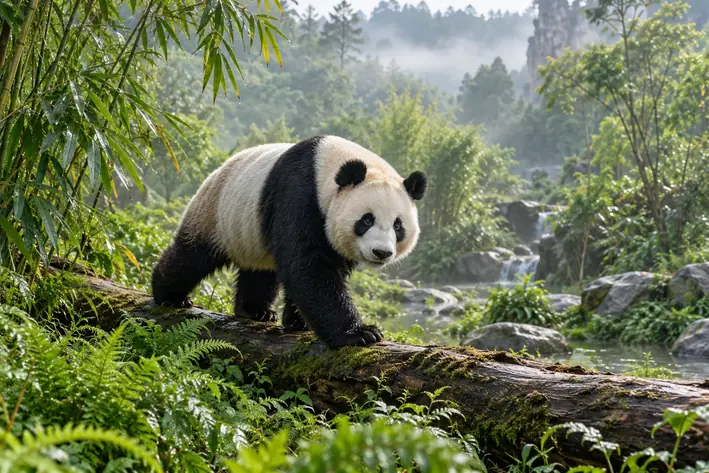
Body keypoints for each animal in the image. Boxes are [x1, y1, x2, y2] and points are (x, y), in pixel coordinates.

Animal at [151, 134, 427, 347]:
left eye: (398, 225)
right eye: (367, 219)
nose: (381, 252)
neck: (326, 166)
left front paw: (299, 322)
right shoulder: (299, 195)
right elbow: (306, 267)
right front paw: (360, 333)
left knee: (260, 272)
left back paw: (255, 311)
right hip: (215, 214)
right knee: (192, 257)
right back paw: (169, 295)